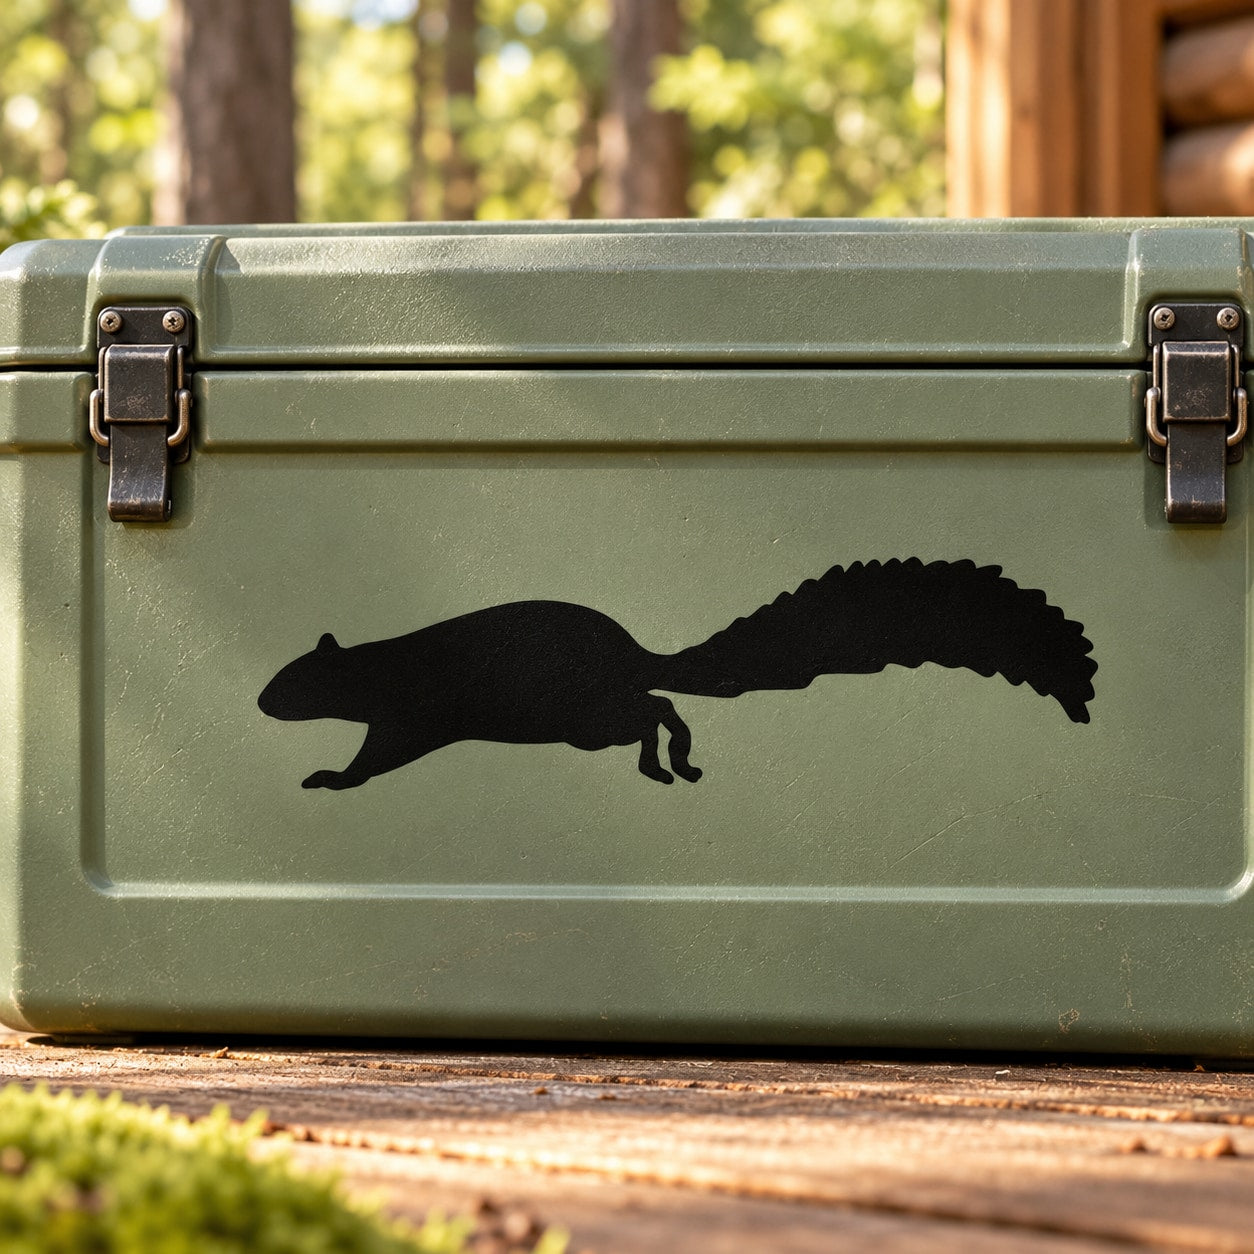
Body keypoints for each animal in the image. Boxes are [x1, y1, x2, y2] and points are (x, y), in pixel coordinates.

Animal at [258, 557, 1096, 791]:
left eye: (295, 681)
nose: (261, 702)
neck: (375, 663)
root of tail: (631, 649)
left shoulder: (408, 717)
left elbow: (371, 761)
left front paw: (329, 779)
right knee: (658, 703)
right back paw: (670, 763)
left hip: (583, 717)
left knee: (656, 707)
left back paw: (668, 762)